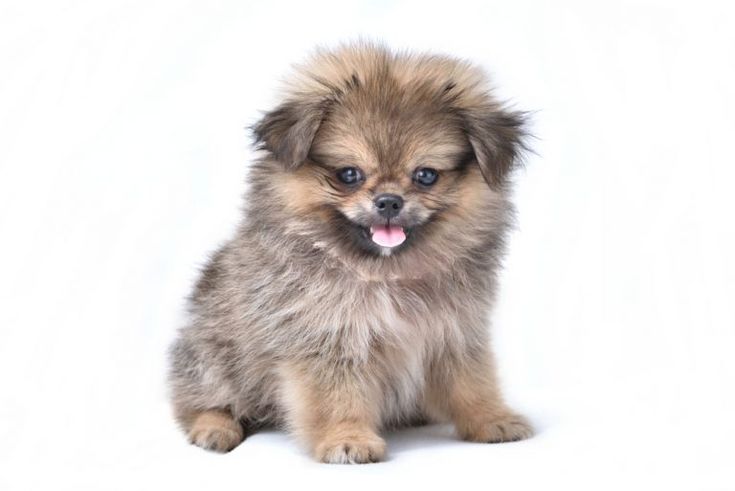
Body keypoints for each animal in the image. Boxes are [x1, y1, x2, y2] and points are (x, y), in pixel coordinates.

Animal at [169, 43, 532, 466]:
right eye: (349, 174)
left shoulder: (455, 333)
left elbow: (473, 383)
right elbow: (337, 398)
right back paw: (215, 427)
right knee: (202, 401)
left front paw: (492, 419)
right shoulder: (328, 339)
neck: (388, 274)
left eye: (425, 175)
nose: (389, 200)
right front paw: (347, 439)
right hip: (212, 359)